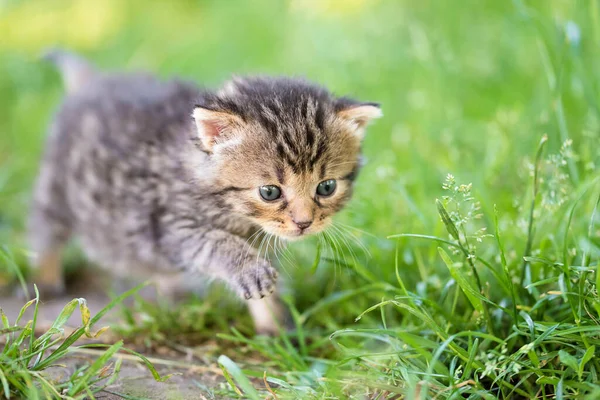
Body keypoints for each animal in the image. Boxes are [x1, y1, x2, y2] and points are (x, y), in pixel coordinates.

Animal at [28, 50, 382, 334]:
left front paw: (276, 329)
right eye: (270, 192)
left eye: (326, 187)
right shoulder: (172, 226)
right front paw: (247, 269)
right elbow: (215, 244)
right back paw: (44, 279)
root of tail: (95, 81)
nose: (304, 223)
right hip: (55, 186)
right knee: (45, 229)